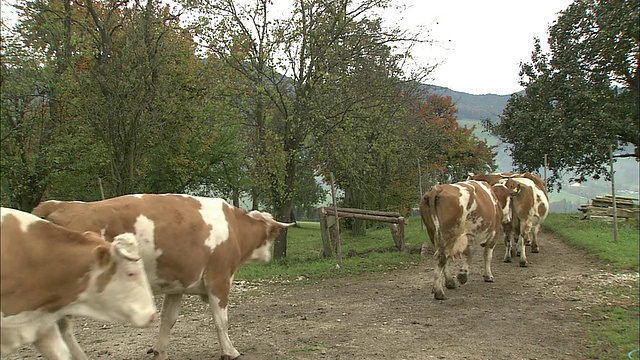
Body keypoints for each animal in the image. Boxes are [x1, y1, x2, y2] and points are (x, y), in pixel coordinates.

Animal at [32, 194, 296, 360]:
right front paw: (230, 351)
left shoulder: (178, 286)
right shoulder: (218, 280)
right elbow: (221, 321)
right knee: (63, 327)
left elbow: (168, 319)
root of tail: (62, 205)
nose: (269, 255)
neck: (235, 229)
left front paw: (160, 351)